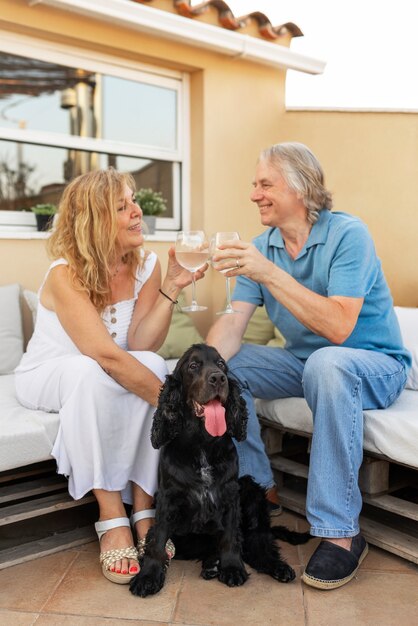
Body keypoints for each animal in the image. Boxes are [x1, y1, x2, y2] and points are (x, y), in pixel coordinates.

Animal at [131, 344, 310, 596]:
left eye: (221, 364)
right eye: (193, 365)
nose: (218, 378)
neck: (202, 444)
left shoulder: (229, 495)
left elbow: (230, 536)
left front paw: (233, 568)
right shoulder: (168, 498)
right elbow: (157, 540)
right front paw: (148, 576)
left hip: (251, 492)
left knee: (259, 545)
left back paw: (277, 567)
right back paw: (212, 564)